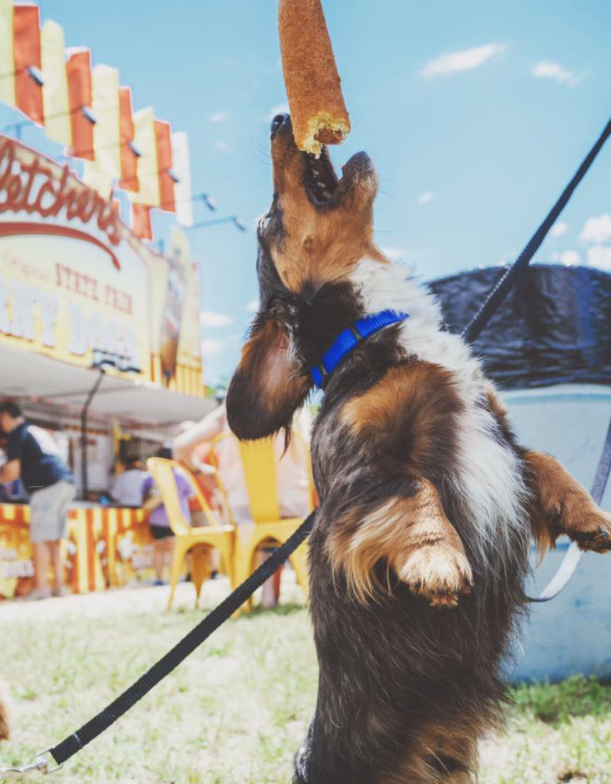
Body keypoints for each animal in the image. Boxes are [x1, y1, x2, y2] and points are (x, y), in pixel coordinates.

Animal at [226, 112, 611, 784]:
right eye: (268, 220)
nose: (278, 117)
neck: (371, 329)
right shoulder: (356, 471)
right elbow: (412, 486)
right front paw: (438, 560)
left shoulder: (497, 431)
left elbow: (543, 460)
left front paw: (587, 515)